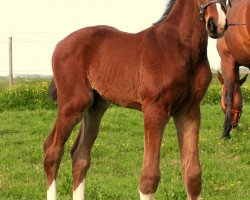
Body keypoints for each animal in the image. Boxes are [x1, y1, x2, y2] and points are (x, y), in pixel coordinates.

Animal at [44, 0, 228, 199]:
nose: (217, 24)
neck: (181, 46)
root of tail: (60, 44)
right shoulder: (154, 108)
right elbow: (149, 178)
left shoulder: (189, 110)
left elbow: (193, 176)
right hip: (74, 104)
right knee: (52, 150)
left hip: (95, 107)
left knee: (80, 156)